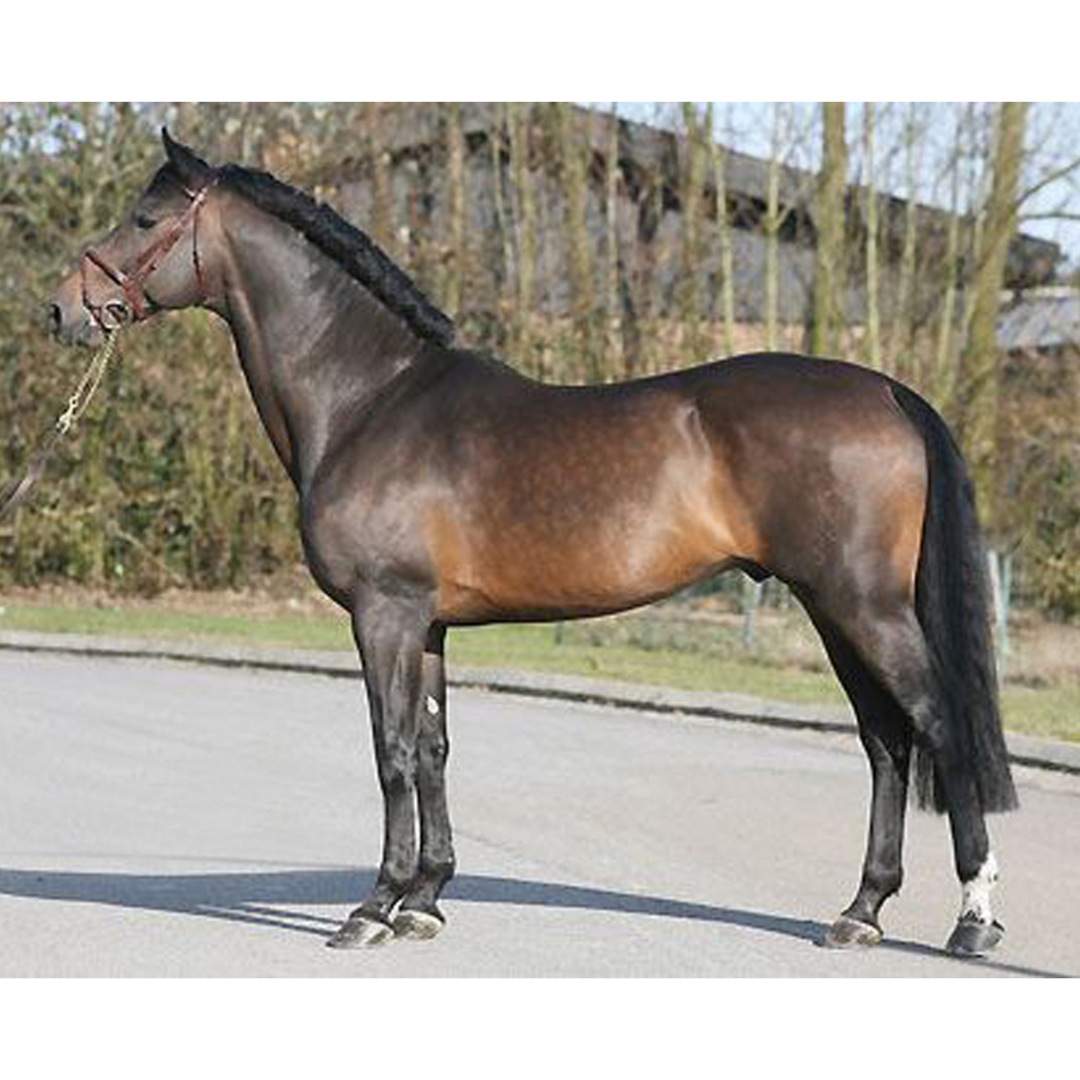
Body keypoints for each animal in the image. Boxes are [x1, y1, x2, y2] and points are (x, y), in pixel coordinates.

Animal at [49, 129, 1017, 957]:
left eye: (144, 218)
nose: (62, 309)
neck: (370, 400)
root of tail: (890, 391)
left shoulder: (383, 614)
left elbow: (390, 751)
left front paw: (373, 908)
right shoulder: (428, 625)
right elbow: (432, 751)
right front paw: (426, 901)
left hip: (861, 604)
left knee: (937, 726)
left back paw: (973, 919)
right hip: (831, 607)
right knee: (886, 742)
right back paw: (861, 911)